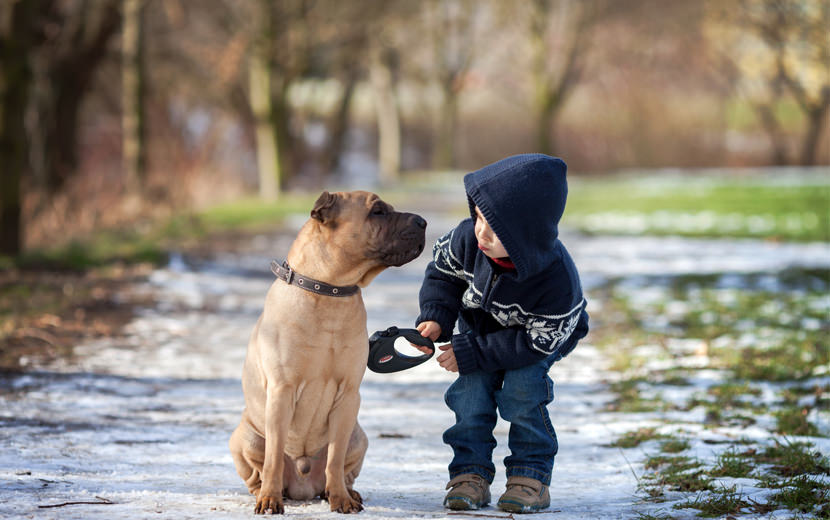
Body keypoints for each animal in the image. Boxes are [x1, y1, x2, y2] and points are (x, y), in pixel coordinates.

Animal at [231, 190, 428, 512]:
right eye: (377, 211)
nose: (423, 221)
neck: (329, 290)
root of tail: (303, 485)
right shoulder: (282, 390)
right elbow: (273, 456)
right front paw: (270, 499)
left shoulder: (348, 395)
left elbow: (334, 459)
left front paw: (340, 499)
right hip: (246, 437)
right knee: (259, 470)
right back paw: (267, 491)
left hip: (358, 436)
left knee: (341, 467)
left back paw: (345, 492)